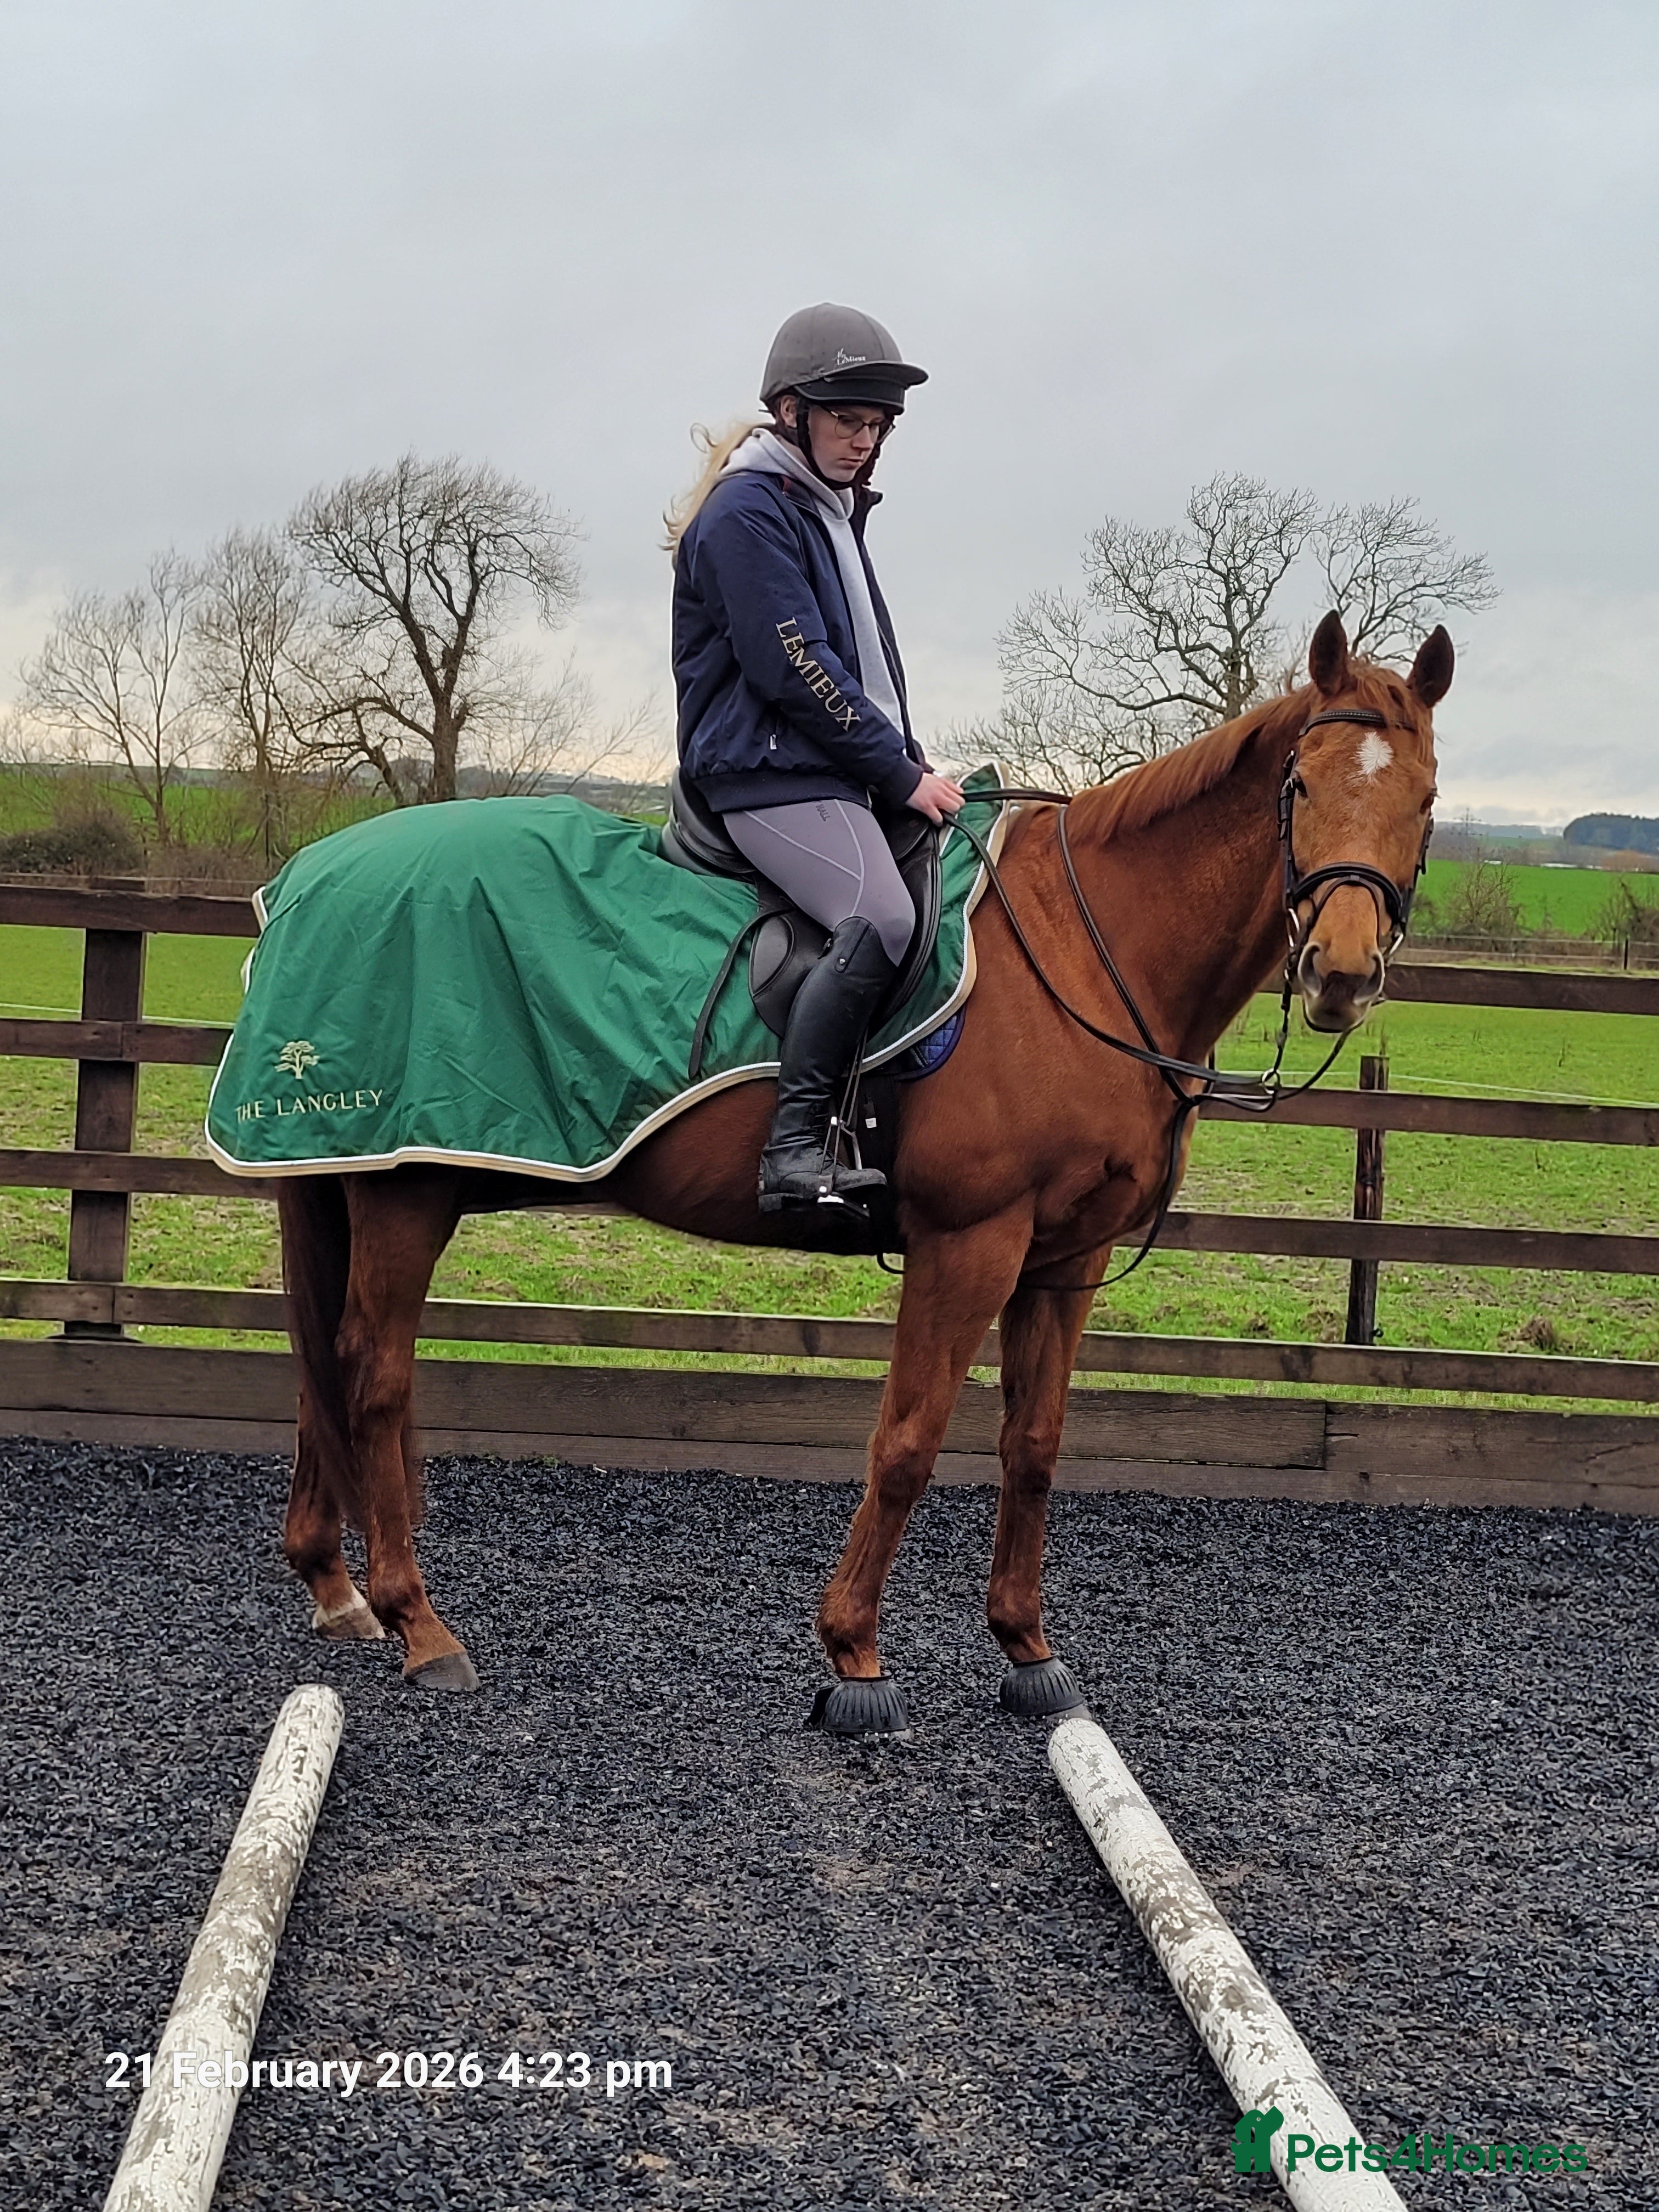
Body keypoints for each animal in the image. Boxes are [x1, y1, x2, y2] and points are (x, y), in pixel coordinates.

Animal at [274, 611, 1450, 1729]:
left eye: (1427, 800)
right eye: (1298, 785)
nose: (1339, 975)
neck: (1083, 948)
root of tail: (308, 873)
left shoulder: (1062, 1258)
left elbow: (1032, 1443)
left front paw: (1025, 1646)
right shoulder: (969, 1244)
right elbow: (908, 1441)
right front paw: (852, 1655)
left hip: (363, 1177)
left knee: (329, 1359)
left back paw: (337, 1590)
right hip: (403, 1187)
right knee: (372, 1373)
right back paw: (420, 1623)